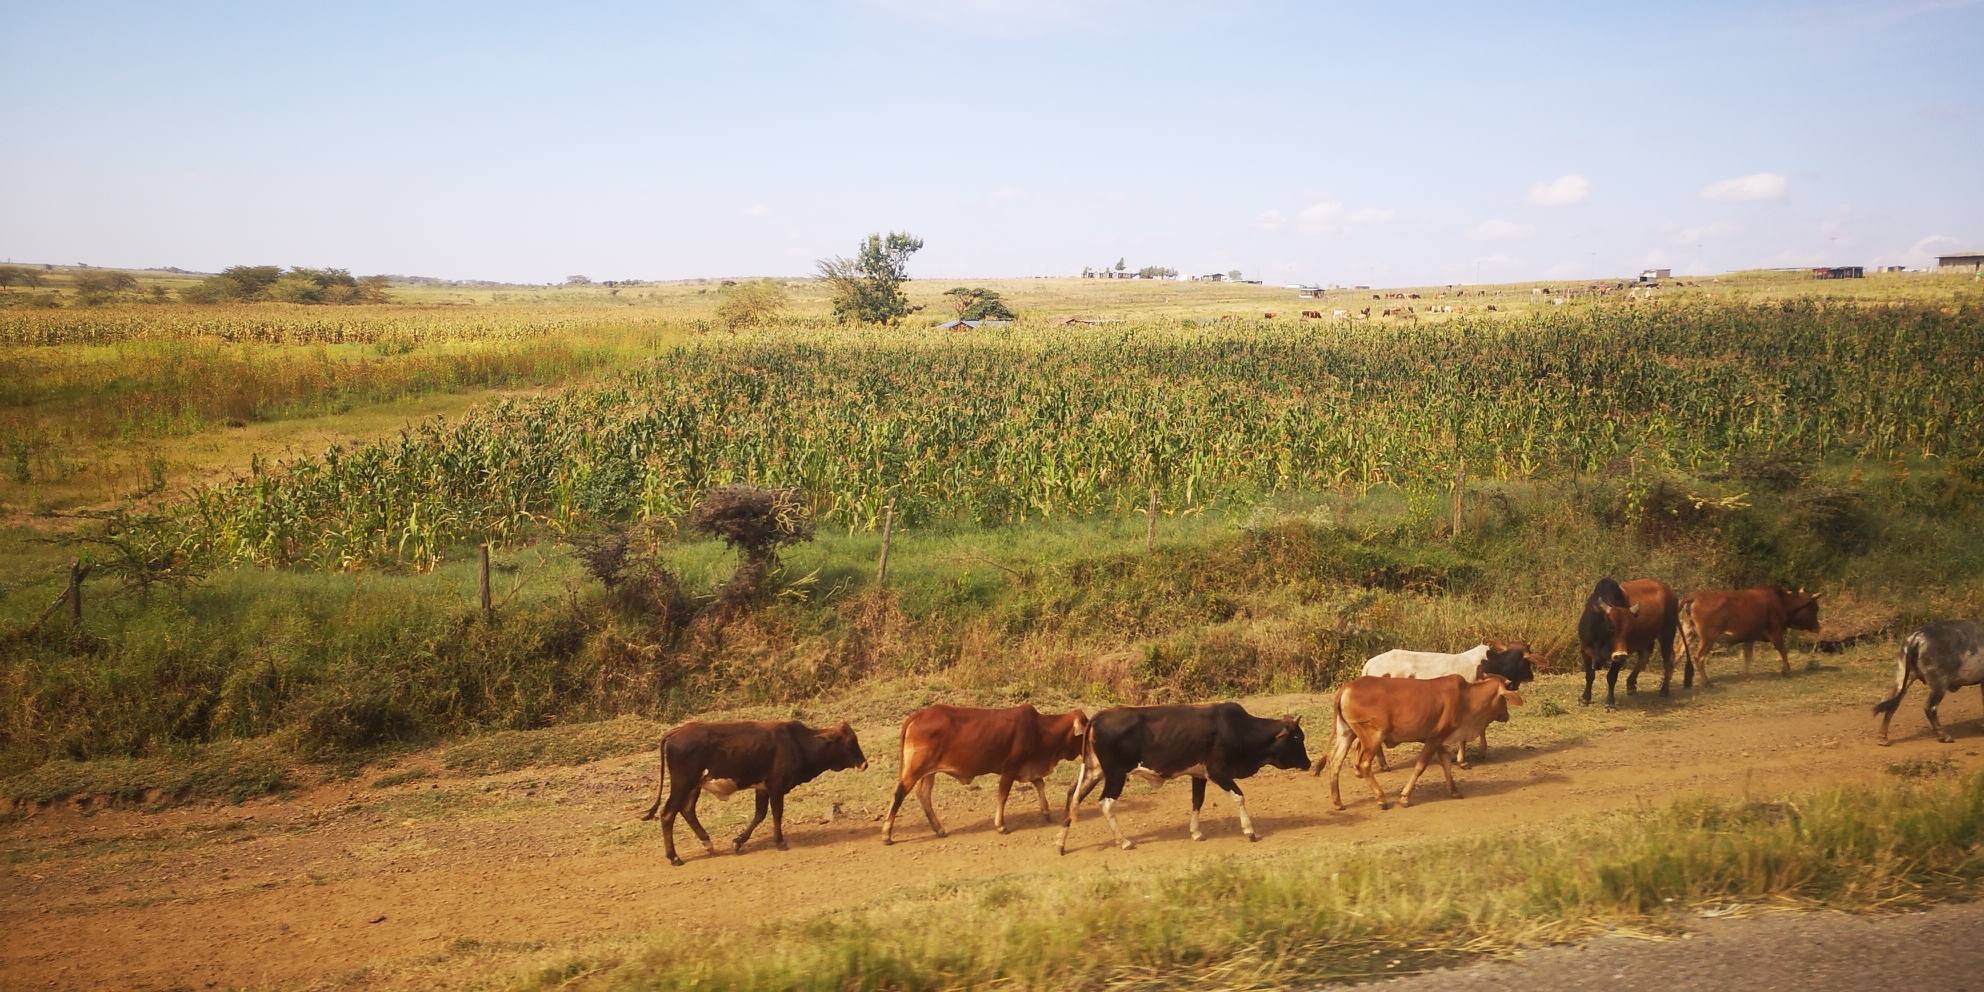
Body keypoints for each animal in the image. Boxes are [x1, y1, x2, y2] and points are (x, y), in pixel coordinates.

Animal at [638, 722, 865, 868]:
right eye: (849, 742)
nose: (864, 763)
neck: (799, 743)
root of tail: (676, 732)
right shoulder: (776, 786)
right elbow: (776, 814)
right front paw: (780, 842)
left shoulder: (762, 788)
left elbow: (759, 815)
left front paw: (738, 841)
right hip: (683, 783)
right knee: (668, 813)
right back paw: (674, 857)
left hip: (694, 785)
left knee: (686, 810)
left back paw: (707, 843)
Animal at [888, 702, 1095, 841]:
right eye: (1085, 732)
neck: (1040, 729)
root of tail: (919, 715)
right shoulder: (1010, 768)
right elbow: (1003, 796)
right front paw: (1001, 826)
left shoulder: (1027, 767)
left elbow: (1039, 783)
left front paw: (1046, 812)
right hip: (916, 768)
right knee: (900, 792)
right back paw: (887, 835)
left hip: (929, 771)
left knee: (923, 795)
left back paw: (939, 829)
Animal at [1317, 674, 1515, 813]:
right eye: (1504, 698)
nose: (1506, 715)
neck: (1467, 698)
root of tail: (1346, 688)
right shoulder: (1434, 739)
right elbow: (1420, 766)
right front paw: (1405, 798)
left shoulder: (1440, 740)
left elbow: (1446, 763)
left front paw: (1454, 791)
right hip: (1372, 737)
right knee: (1363, 764)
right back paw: (1381, 799)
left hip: (1346, 733)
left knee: (1335, 761)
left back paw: (1338, 802)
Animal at [1571, 579, 1682, 710]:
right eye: (1610, 627)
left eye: (1630, 628)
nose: (1622, 655)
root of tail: (1670, 591)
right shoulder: (1585, 650)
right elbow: (1590, 675)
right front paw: (1584, 699)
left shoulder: (1618, 657)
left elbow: (1611, 677)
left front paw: (1610, 703)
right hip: (1648, 638)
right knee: (1645, 655)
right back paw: (1631, 684)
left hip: (1667, 633)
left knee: (1668, 659)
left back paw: (1664, 690)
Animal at [1682, 583, 1817, 686]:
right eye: (1814, 607)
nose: (1818, 627)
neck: (1782, 602)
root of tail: (1695, 597)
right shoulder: (1775, 633)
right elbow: (1783, 650)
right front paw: (1786, 670)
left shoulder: (1749, 638)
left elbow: (1748, 656)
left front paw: (1747, 676)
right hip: (1708, 638)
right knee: (1699, 657)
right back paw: (1706, 682)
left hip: (1688, 633)